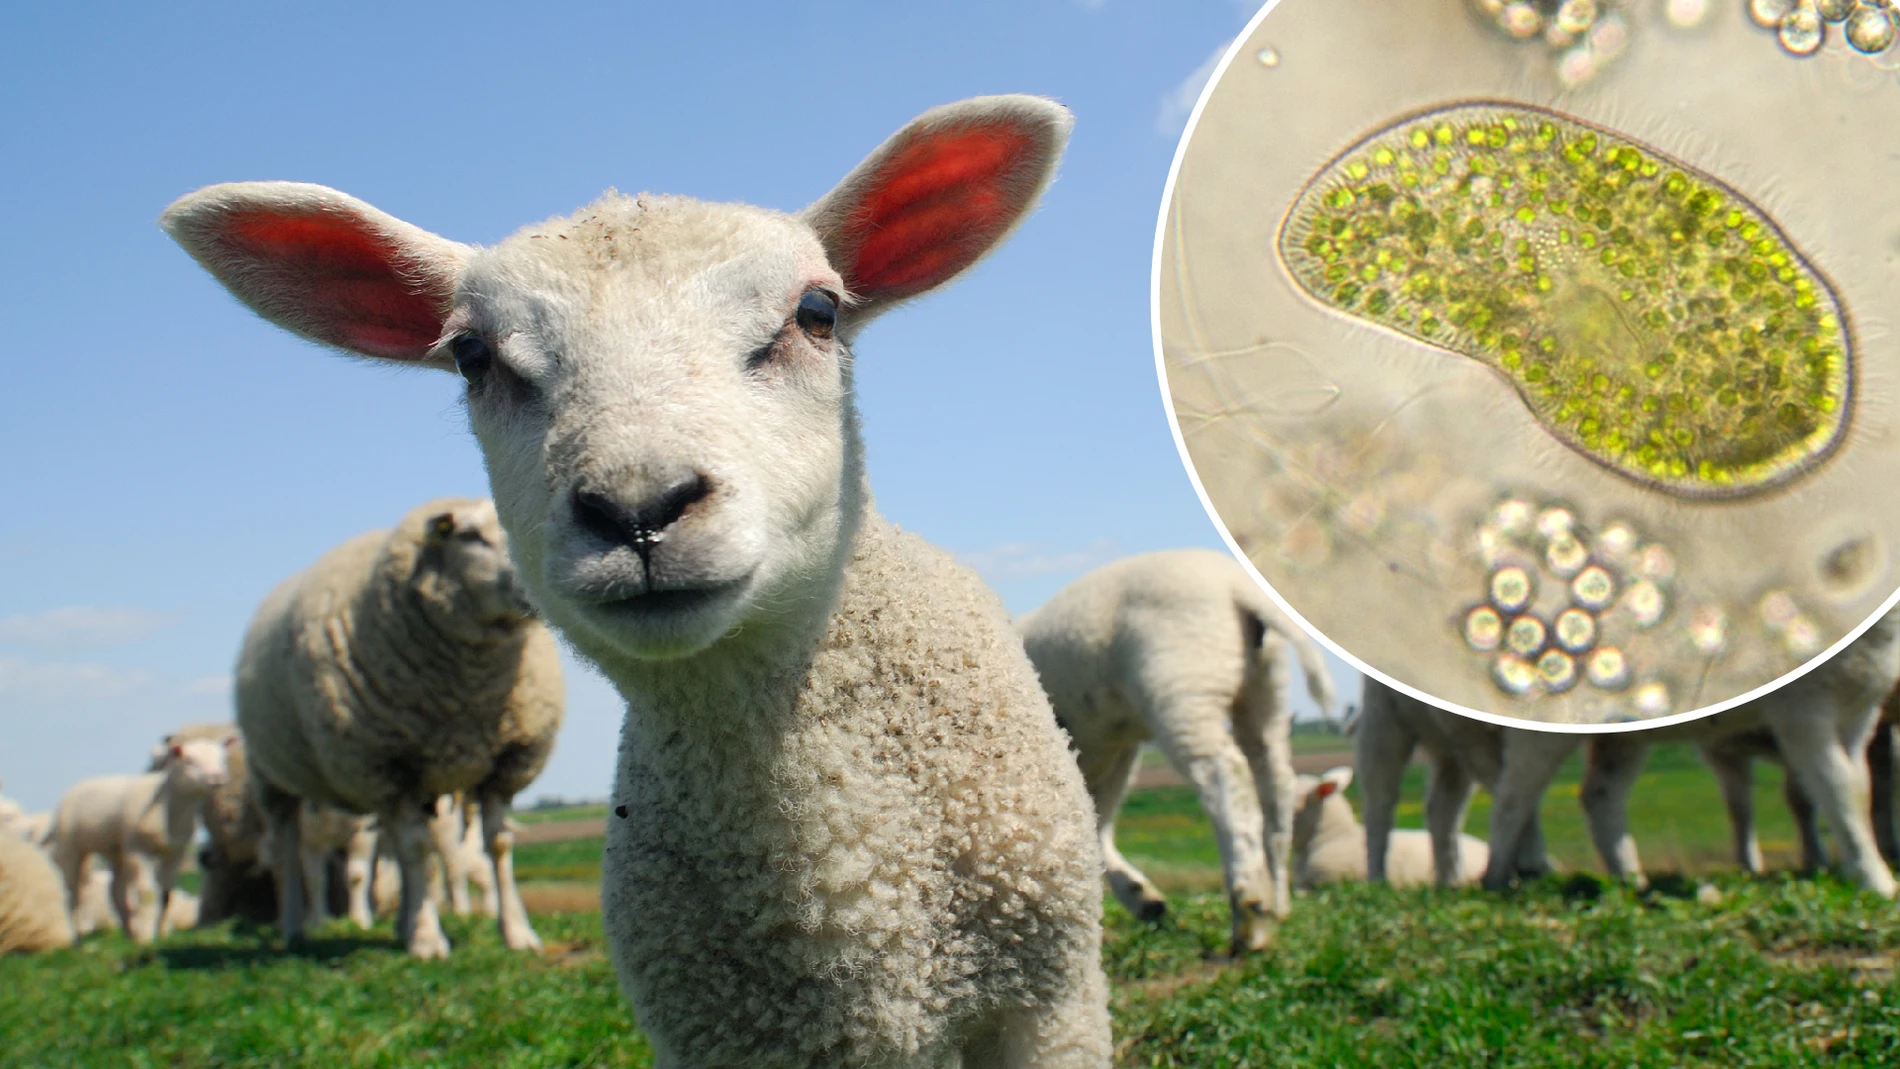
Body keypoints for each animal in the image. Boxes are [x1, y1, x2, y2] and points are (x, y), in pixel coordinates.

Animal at [45, 736, 231, 942]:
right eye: (189, 760)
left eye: (222, 758)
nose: (217, 777)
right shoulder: (139, 850)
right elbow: (148, 893)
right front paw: (146, 937)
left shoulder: (175, 852)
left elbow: (166, 895)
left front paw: (163, 933)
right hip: (70, 847)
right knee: (73, 891)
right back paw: (78, 936)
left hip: (116, 849)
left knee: (116, 892)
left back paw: (129, 933)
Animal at [223, 497, 562, 959]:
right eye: (470, 536)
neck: (468, 694)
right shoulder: (392, 763)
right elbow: (417, 849)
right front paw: (429, 940)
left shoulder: (502, 762)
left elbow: (498, 844)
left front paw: (516, 932)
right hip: (275, 776)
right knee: (289, 850)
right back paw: (294, 928)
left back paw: (404, 923)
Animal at [1018, 547, 1338, 954]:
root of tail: (1237, 585)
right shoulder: (1111, 750)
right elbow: (1093, 821)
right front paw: (1142, 899)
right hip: (1264, 689)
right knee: (1275, 786)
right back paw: (1277, 902)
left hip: (1182, 682)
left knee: (1227, 778)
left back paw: (1249, 914)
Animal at [1353, 676, 1564, 888]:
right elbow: (1514, 787)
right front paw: (1528, 867)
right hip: (1387, 712)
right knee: (1380, 797)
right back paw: (1377, 879)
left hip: (1450, 740)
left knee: (1442, 807)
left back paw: (1451, 881)